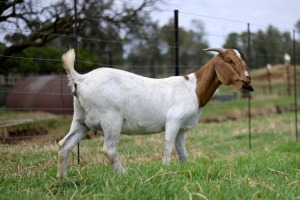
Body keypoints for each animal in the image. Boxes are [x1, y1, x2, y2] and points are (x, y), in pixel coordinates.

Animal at [56, 47, 253, 177]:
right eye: (230, 61)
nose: (248, 78)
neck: (193, 89)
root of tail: (81, 79)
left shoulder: (181, 129)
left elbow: (182, 152)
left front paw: (185, 169)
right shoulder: (173, 121)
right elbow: (168, 146)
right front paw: (165, 169)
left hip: (81, 120)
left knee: (64, 144)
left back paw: (63, 178)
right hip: (111, 118)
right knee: (109, 149)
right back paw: (125, 174)